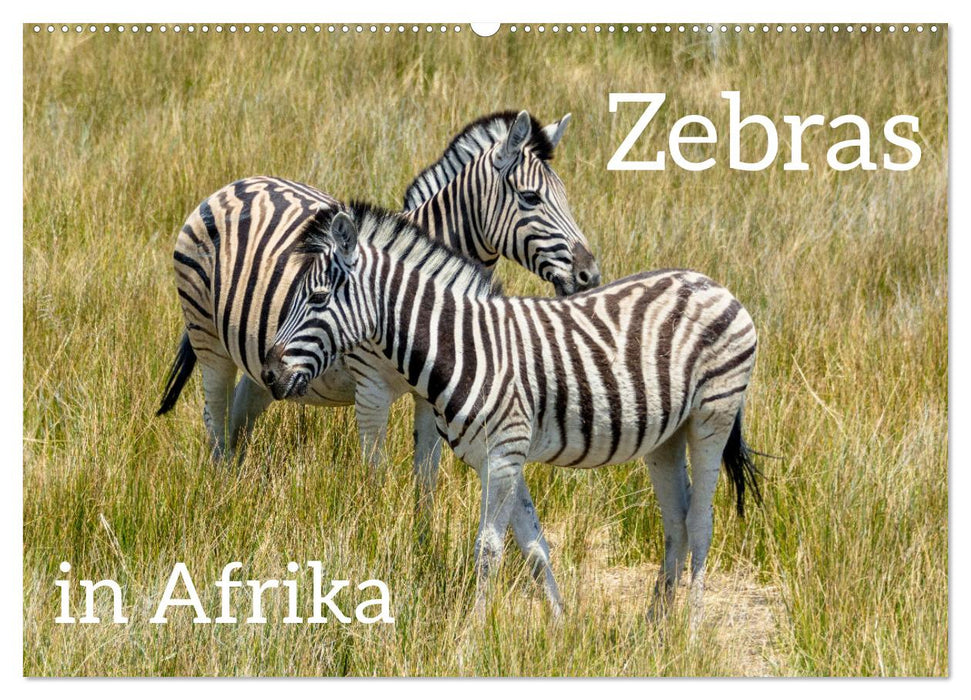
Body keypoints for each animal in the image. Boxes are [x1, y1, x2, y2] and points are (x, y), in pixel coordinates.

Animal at [157, 111, 600, 500]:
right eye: (531, 198)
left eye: (566, 197)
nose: (590, 275)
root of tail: (233, 185)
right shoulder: (370, 390)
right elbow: (376, 479)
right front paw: (375, 533)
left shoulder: (431, 395)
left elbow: (426, 480)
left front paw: (423, 537)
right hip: (208, 338)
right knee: (215, 418)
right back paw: (219, 494)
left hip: (261, 361)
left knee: (238, 418)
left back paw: (236, 490)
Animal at [261, 204, 762, 627]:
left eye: (318, 298)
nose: (268, 373)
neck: (464, 348)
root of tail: (715, 284)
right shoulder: (500, 457)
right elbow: (534, 545)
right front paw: (561, 625)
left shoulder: (503, 454)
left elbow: (489, 550)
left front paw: (473, 633)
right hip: (665, 436)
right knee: (676, 520)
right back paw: (655, 627)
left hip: (712, 416)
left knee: (700, 522)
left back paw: (690, 629)